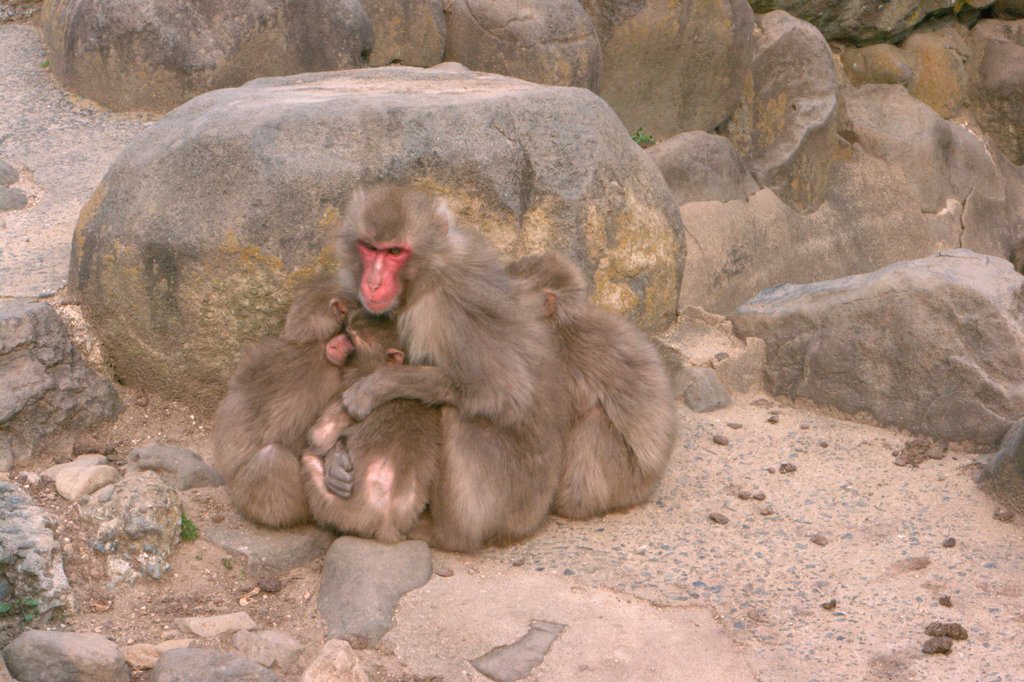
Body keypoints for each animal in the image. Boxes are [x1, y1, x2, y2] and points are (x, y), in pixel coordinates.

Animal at [335, 184, 577, 552]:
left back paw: (449, 535)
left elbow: (501, 392)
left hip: (507, 498)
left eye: (395, 252)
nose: (373, 283)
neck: (427, 275)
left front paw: (378, 386)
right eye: (370, 248)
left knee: (457, 415)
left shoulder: (445, 311)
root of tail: (535, 516)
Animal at [505, 251, 679, 518]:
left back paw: (571, 505)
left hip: (625, 478)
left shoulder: (556, 362)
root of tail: (649, 484)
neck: (558, 324)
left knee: (592, 421)